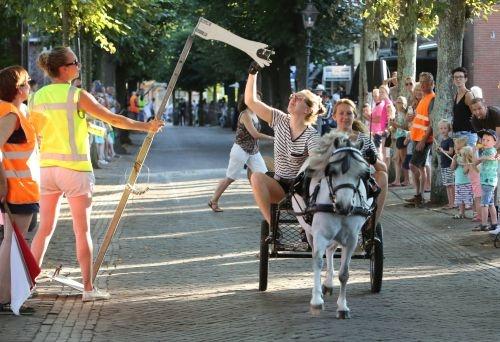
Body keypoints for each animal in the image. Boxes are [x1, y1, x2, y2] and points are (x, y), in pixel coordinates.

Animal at [292, 130, 374, 318]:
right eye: (332, 171)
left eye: (362, 174)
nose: (344, 206)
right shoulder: (320, 235)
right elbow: (317, 262)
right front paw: (316, 301)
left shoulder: (351, 239)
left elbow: (344, 274)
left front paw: (342, 307)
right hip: (310, 232)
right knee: (320, 254)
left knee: (330, 251)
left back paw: (328, 283)